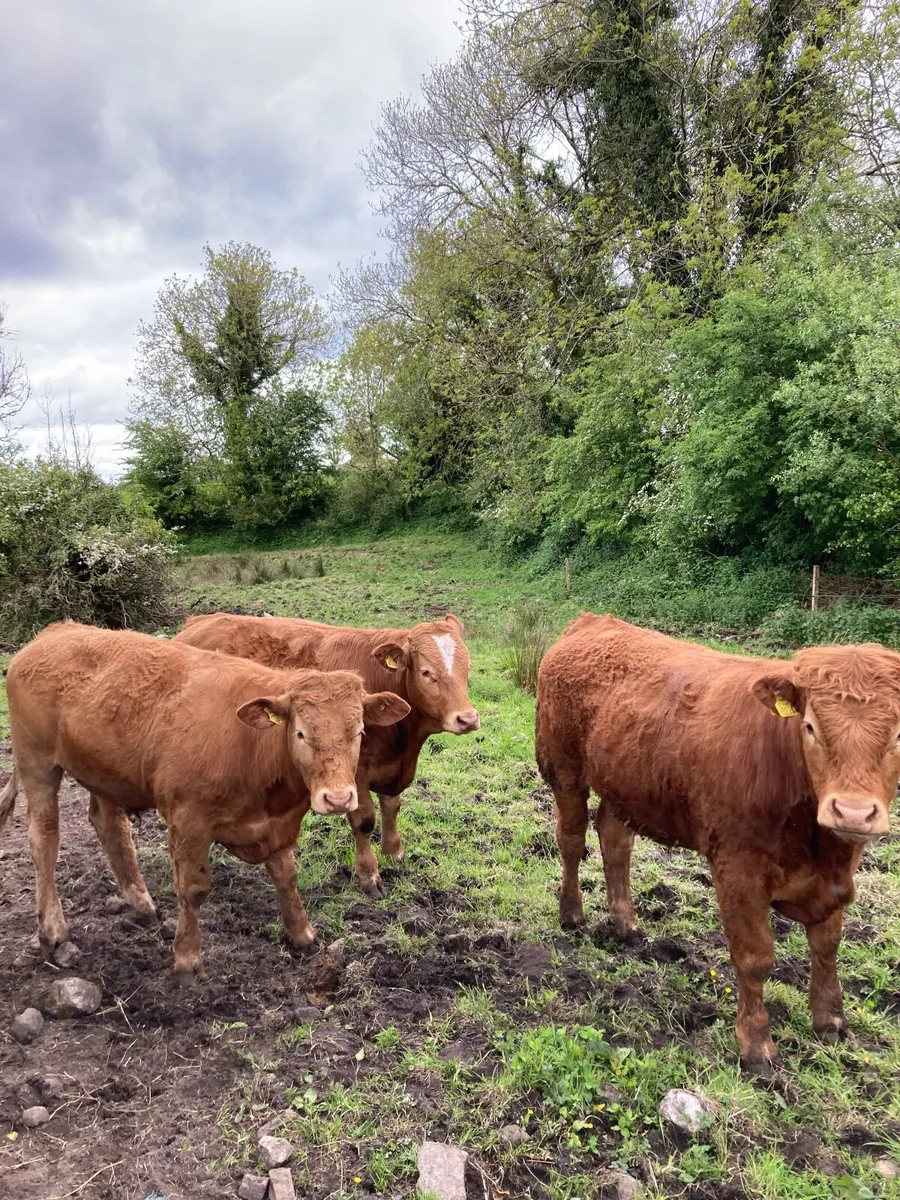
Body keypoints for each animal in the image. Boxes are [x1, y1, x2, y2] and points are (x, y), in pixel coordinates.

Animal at [0, 622, 409, 982]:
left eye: (359, 732)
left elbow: (286, 877)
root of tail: (56, 631)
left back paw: (140, 902)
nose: (338, 797)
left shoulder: (276, 825)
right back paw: (53, 930)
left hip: (101, 771)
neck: (251, 747)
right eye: (301, 733)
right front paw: (186, 960)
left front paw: (302, 935)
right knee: (44, 840)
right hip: (37, 764)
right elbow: (193, 889)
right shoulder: (188, 822)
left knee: (109, 823)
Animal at [174, 611, 480, 897]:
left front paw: (394, 852)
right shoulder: (354, 774)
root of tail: (198, 621)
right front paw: (369, 875)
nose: (467, 718)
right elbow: (364, 820)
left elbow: (392, 806)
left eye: (468, 667)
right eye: (427, 672)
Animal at [535, 613, 900, 1070]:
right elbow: (755, 958)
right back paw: (571, 914)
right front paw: (757, 1045)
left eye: (899, 735)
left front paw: (830, 1021)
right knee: (570, 839)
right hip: (563, 769)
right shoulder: (738, 869)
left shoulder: (836, 876)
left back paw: (626, 924)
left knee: (615, 840)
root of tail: (593, 621)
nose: (852, 812)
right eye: (810, 726)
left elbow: (827, 946)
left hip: (628, 784)